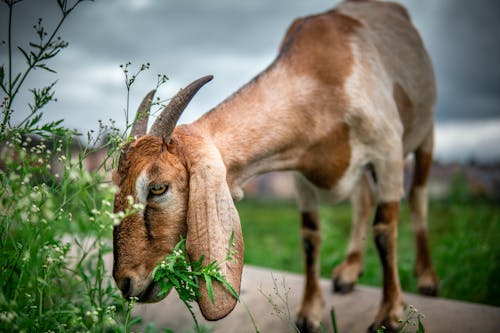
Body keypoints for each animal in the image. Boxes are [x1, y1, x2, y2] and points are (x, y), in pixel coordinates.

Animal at [112, 1, 438, 330]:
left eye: (158, 187)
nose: (125, 282)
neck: (328, 78)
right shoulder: (301, 175)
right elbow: (309, 235)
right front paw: (309, 312)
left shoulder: (388, 152)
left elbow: (384, 231)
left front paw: (390, 314)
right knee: (363, 200)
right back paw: (348, 273)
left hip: (425, 135)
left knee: (419, 196)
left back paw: (427, 279)